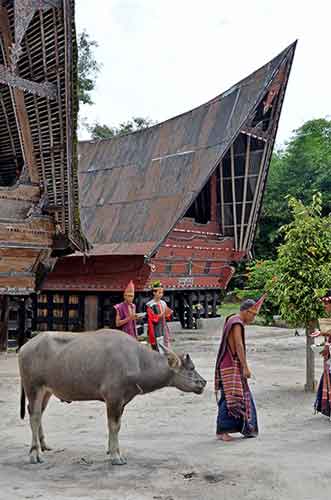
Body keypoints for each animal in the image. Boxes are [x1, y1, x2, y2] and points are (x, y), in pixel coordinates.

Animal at [18, 328, 208, 464]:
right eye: (191, 368)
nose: (203, 382)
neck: (138, 361)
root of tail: (25, 347)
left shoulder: (122, 401)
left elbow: (117, 426)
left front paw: (111, 450)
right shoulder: (113, 399)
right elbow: (114, 426)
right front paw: (116, 456)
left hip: (47, 391)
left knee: (39, 413)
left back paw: (43, 445)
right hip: (33, 387)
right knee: (34, 416)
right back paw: (35, 453)